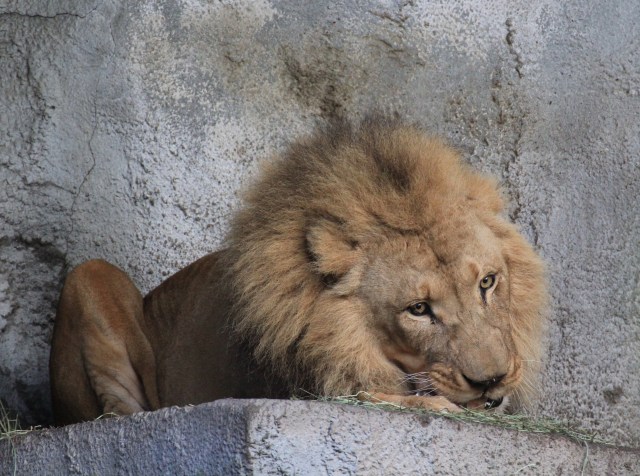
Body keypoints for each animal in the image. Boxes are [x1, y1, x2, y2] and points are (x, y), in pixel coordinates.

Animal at [50, 117, 547, 425]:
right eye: (418, 309)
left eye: (487, 282)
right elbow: (374, 393)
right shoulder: (300, 389)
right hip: (90, 274)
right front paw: (440, 404)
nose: (492, 380)